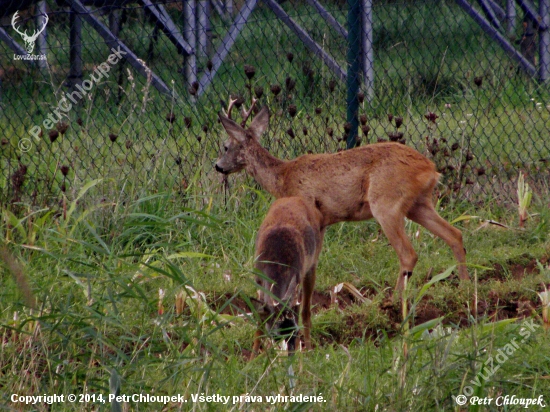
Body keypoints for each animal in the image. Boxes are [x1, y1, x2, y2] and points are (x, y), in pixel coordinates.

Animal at [216, 103, 470, 292]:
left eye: (226, 146)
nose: (218, 166)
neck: (283, 177)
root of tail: (430, 169)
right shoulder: (322, 222)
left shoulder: (309, 210)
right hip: (418, 204)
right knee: (455, 234)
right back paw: (465, 286)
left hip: (386, 203)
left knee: (409, 254)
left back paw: (395, 299)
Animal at [253, 196, 326, 354]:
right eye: (276, 333)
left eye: (294, 331)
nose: (289, 350)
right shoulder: (258, 280)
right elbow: (259, 324)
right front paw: (253, 357)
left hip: (312, 266)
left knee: (306, 311)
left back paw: (309, 351)